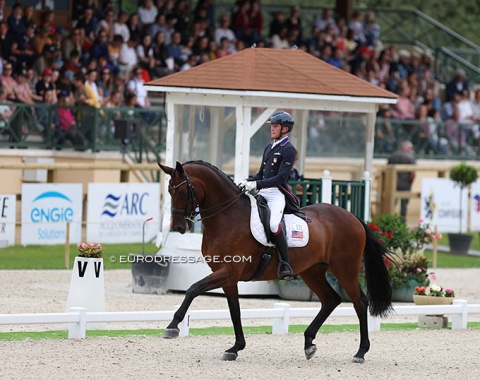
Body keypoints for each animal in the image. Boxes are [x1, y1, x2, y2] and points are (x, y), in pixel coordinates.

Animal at [159, 160, 392, 362]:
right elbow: (234, 310)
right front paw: (235, 348)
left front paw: (173, 326)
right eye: (169, 191)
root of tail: (352, 217)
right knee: (331, 300)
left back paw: (360, 352)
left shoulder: (228, 272)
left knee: (359, 302)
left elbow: (193, 289)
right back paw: (309, 343)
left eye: (182, 191)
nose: (179, 227)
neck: (228, 216)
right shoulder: (228, 278)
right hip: (312, 272)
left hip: (345, 269)